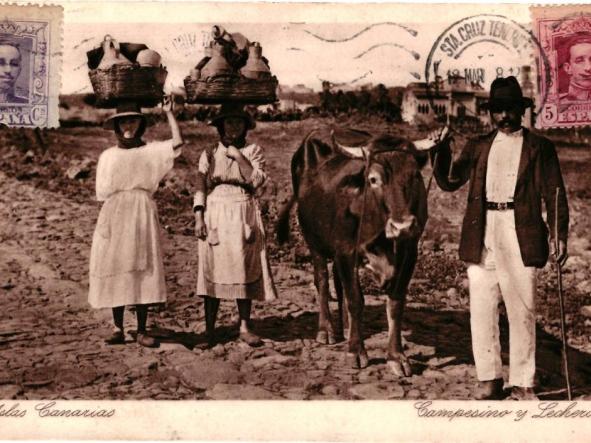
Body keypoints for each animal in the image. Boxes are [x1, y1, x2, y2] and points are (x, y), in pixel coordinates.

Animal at [278, 130, 430, 376]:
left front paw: (396, 356)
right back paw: (326, 330)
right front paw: (356, 351)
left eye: (415, 175)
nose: (403, 226)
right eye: (374, 179)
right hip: (313, 239)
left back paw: (345, 327)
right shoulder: (345, 250)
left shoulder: (409, 251)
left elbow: (395, 303)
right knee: (322, 280)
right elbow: (356, 300)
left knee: (338, 283)